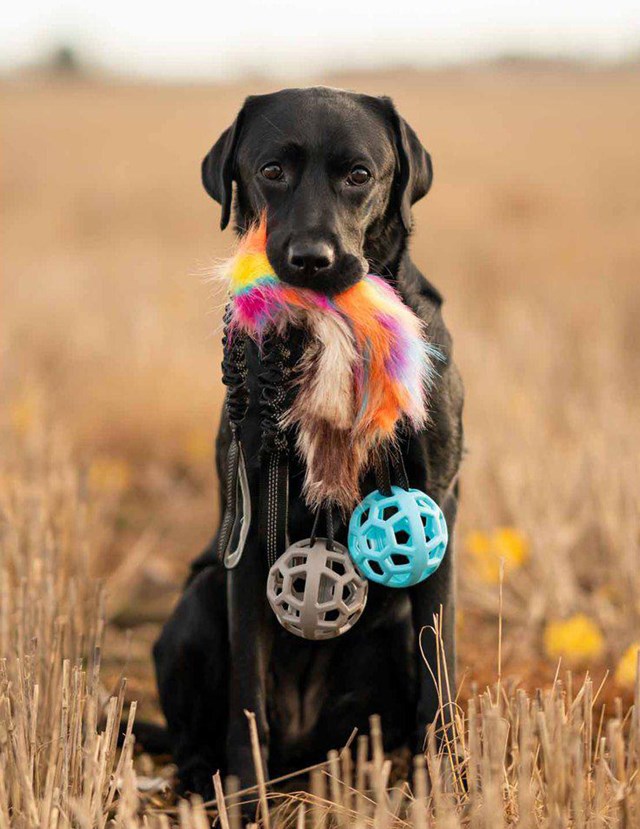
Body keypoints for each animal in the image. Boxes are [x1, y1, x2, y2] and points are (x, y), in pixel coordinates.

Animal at [155, 87, 464, 800]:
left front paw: (446, 790)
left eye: (360, 175)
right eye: (272, 171)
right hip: (197, 601)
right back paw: (201, 782)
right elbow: (246, 695)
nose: (311, 262)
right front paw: (245, 795)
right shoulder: (244, 531)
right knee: (197, 729)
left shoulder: (437, 501)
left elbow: (438, 674)